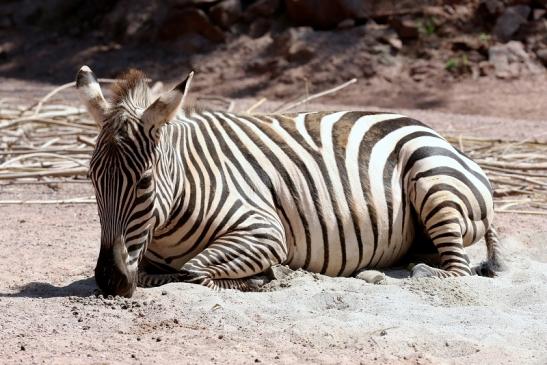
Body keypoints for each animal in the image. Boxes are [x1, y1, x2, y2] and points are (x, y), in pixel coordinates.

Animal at [77, 66, 506, 298]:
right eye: (91, 180)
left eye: (144, 182)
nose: (109, 281)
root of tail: (437, 134)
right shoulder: (144, 255)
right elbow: (156, 273)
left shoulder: (265, 230)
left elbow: (193, 271)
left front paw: (265, 277)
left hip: (431, 174)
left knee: (457, 269)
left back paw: (418, 273)